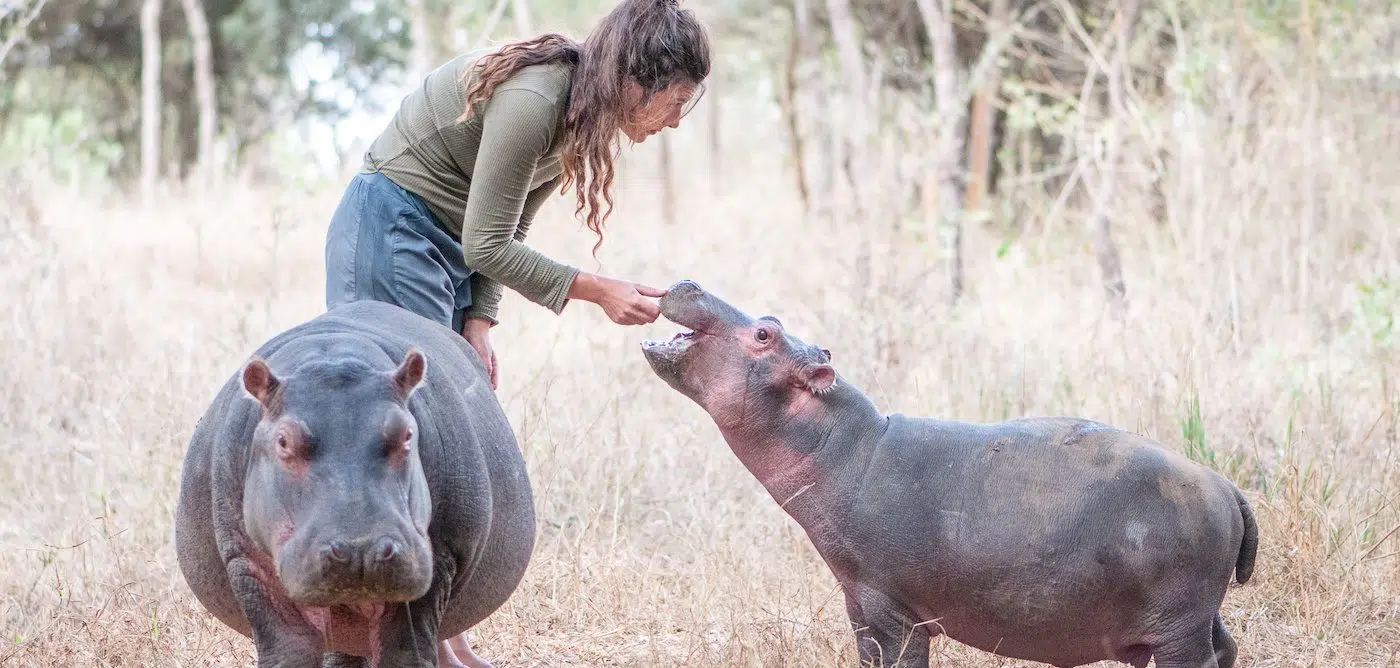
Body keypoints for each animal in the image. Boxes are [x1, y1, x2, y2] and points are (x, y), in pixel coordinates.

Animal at [641, 280, 1260, 666]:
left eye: (763, 336)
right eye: (771, 321)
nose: (690, 282)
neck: (844, 445)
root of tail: (1226, 487)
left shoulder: (892, 608)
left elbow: (901, 662)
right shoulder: (857, 601)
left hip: (1178, 626)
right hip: (1194, 613)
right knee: (1225, 647)